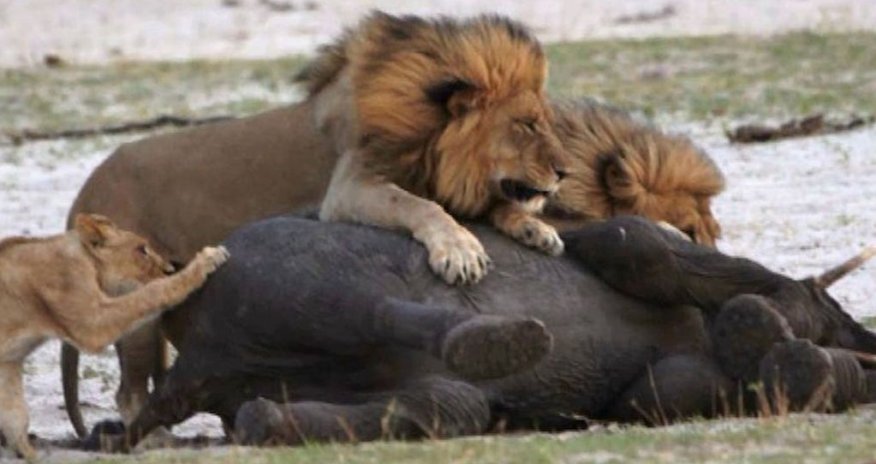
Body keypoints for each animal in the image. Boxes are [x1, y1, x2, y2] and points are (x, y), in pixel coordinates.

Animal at [0, 214, 228, 462]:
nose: (169, 269)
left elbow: (15, 413)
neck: (85, 260)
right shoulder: (93, 322)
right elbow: (148, 294)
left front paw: (30, 455)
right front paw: (204, 262)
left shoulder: (8, 361)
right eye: (142, 249)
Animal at [305, 12, 568, 286]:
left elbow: (502, 205)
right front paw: (460, 250)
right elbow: (414, 203)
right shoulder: (346, 187)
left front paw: (535, 228)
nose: (565, 173)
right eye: (527, 124)